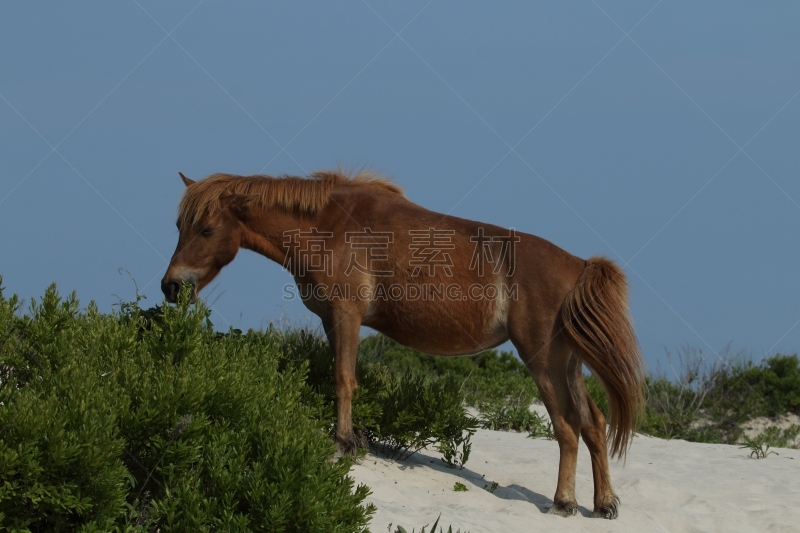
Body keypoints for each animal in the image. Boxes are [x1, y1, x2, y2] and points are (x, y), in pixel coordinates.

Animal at [161, 168, 644, 516]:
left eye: (205, 230)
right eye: (178, 225)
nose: (171, 286)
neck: (328, 226)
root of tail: (579, 265)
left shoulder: (347, 315)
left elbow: (343, 379)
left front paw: (343, 442)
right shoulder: (332, 322)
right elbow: (344, 377)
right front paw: (354, 436)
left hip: (542, 362)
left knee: (566, 427)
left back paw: (564, 502)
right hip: (568, 364)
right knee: (593, 424)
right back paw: (604, 503)